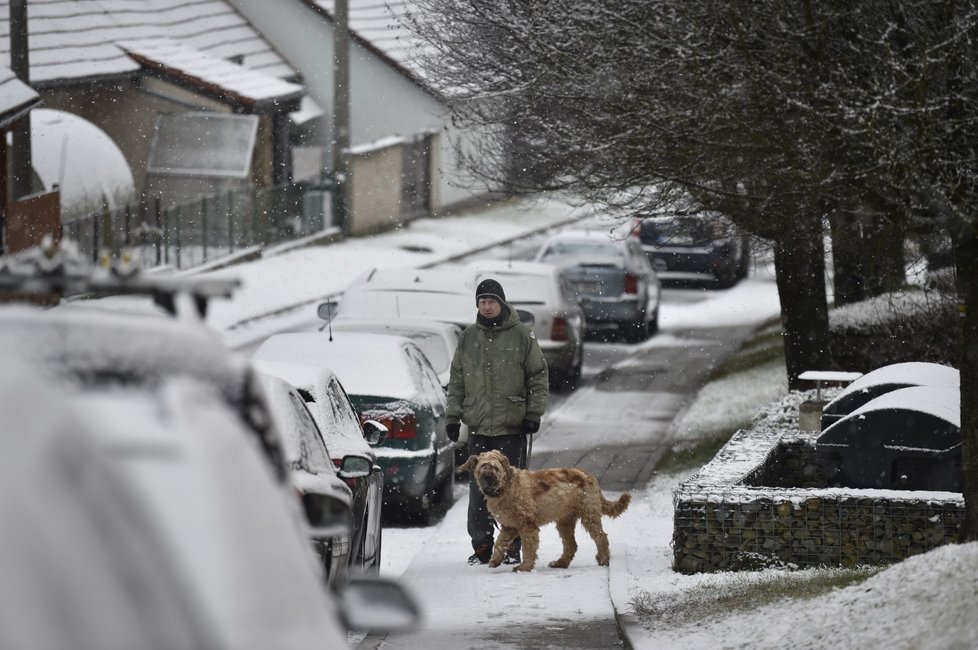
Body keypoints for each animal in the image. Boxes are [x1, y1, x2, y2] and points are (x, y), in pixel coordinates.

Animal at [460, 448, 628, 568]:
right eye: (483, 466)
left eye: (495, 468)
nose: (488, 477)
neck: (506, 487)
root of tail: (590, 475)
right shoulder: (509, 526)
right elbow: (500, 543)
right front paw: (495, 560)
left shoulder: (527, 524)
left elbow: (528, 546)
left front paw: (524, 567)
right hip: (565, 521)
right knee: (571, 544)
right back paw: (560, 563)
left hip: (589, 515)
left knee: (601, 537)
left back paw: (603, 559)